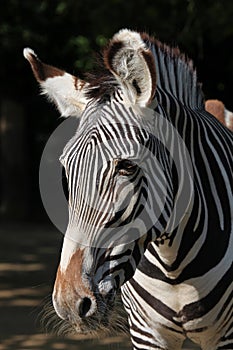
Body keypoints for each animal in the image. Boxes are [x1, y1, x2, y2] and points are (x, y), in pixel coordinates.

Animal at [23, 28, 231, 348]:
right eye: (67, 170)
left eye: (127, 167)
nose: (70, 303)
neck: (174, 269)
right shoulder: (146, 333)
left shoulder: (226, 335)